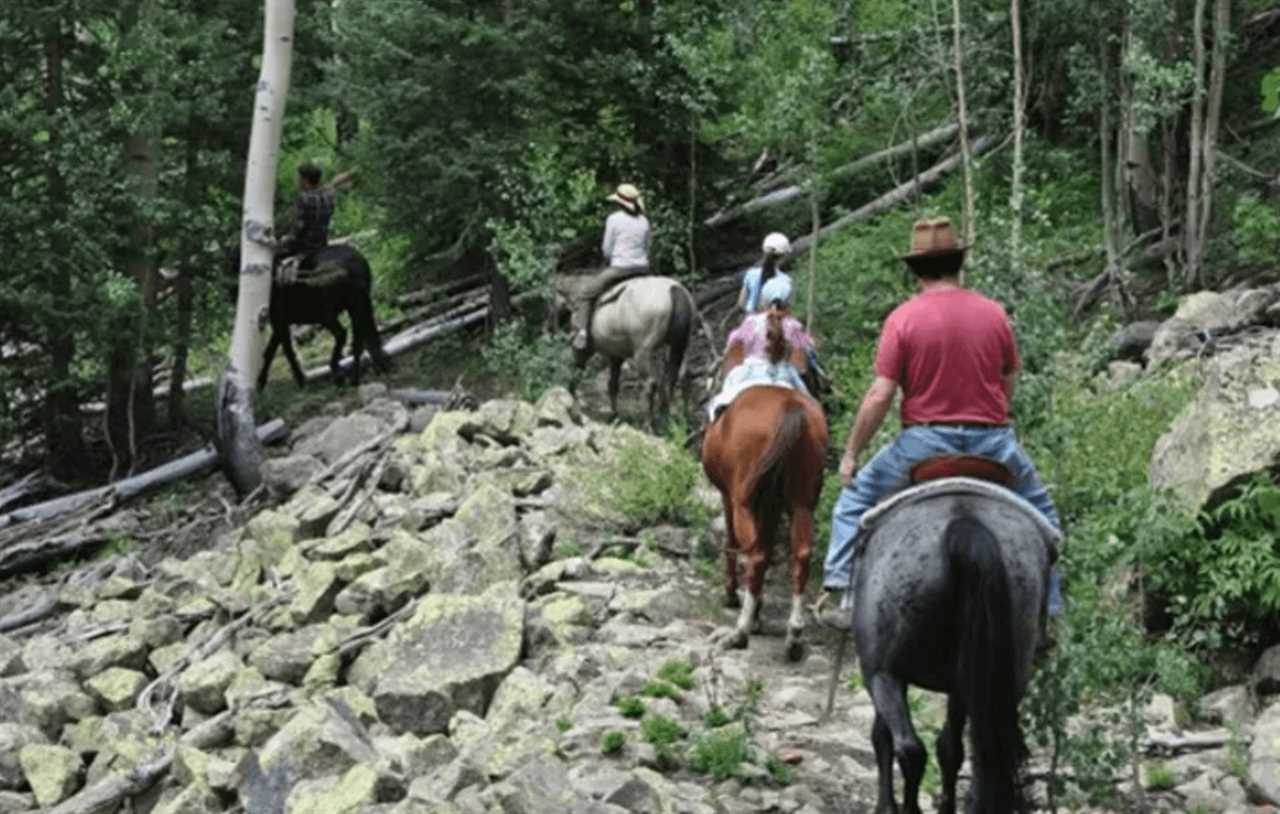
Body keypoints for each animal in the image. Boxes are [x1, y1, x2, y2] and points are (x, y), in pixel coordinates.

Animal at [701, 308, 829, 660]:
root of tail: (790, 408)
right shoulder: (771, 503)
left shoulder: (729, 496)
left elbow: (735, 540)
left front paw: (735, 596)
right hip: (802, 500)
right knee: (801, 553)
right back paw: (794, 633)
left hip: (744, 500)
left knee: (755, 554)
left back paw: (741, 630)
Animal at [849, 463, 1059, 814]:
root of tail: (964, 525)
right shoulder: (961, 684)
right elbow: (950, 749)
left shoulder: (879, 671)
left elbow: (883, 738)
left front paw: (886, 805)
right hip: (1001, 671)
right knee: (982, 747)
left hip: (883, 673)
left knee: (910, 748)